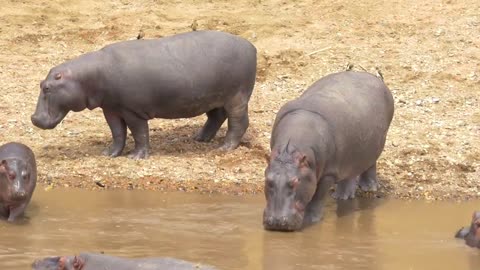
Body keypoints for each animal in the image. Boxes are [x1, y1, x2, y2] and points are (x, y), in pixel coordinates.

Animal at [30, 30, 256, 159]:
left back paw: (224, 148)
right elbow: (117, 133)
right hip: (212, 99)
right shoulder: (111, 109)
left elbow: (139, 133)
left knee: (238, 122)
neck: (87, 77)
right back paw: (199, 139)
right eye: (40, 83)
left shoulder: (133, 111)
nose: (34, 118)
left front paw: (136, 157)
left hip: (236, 98)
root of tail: (251, 45)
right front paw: (108, 154)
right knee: (216, 117)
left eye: (47, 88)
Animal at [262, 70, 394, 231]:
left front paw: (311, 220)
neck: (291, 151)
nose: (277, 222)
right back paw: (342, 197)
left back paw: (369, 188)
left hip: (374, 147)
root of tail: (375, 78)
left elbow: (317, 197)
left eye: (295, 181)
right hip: (350, 155)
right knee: (349, 174)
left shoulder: (328, 174)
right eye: (268, 180)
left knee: (370, 164)